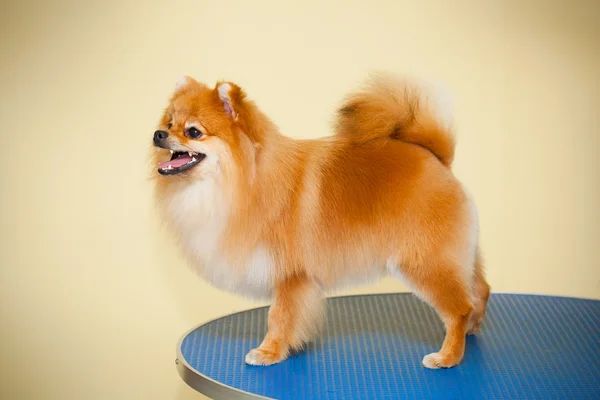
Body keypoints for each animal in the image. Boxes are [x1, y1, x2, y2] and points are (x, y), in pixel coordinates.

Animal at [151, 72, 492, 368]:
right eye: (169, 123)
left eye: (193, 131)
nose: (158, 134)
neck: (246, 181)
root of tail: (436, 159)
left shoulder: (290, 276)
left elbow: (279, 317)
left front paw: (269, 352)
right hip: (453, 256)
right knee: (480, 290)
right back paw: (471, 330)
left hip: (424, 261)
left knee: (459, 308)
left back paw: (448, 356)